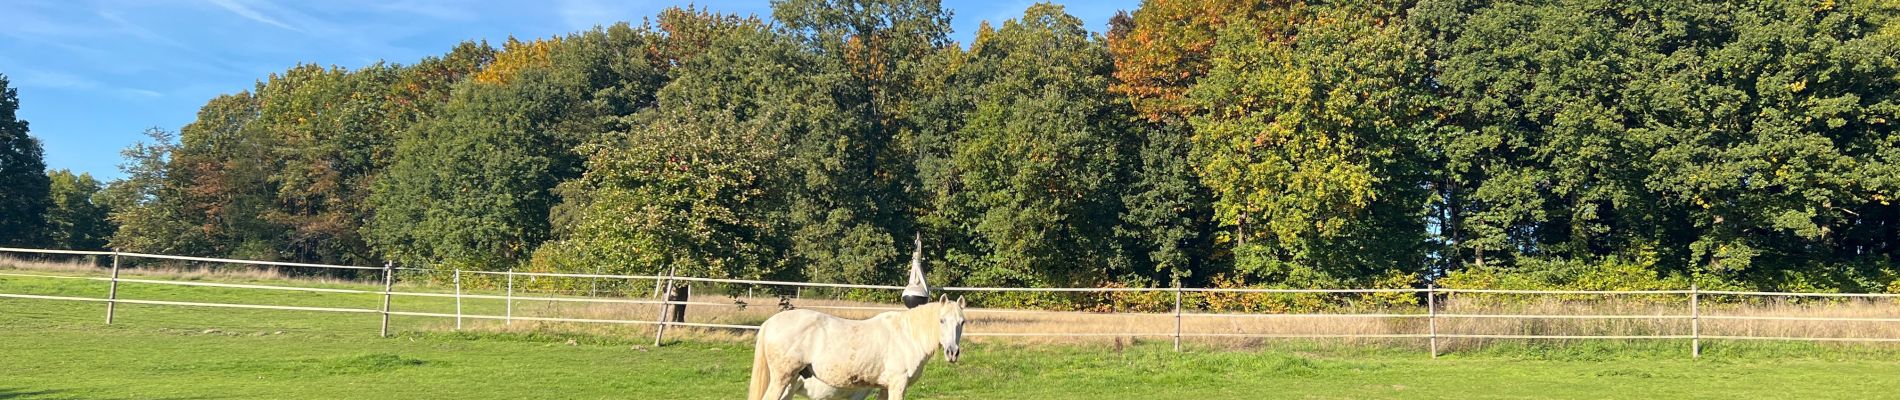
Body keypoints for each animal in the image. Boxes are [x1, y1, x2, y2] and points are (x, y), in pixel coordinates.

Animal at [744, 295, 965, 398]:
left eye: (962, 322)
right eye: (942, 321)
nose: (952, 353)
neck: (907, 336)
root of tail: (769, 323)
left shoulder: (884, 388)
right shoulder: (898, 385)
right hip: (782, 379)